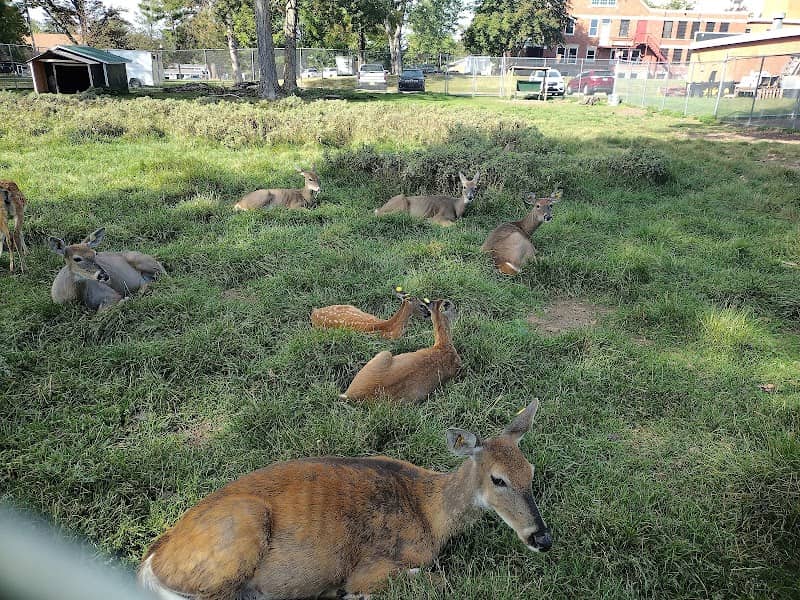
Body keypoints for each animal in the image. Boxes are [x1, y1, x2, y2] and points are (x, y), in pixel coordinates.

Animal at [138, 400, 552, 600]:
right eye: (498, 479)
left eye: (531, 471)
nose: (542, 537)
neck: (429, 512)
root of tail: (152, 562)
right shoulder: (372, 565)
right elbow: (435, 579)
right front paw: (351, 594)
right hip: (241, 528)